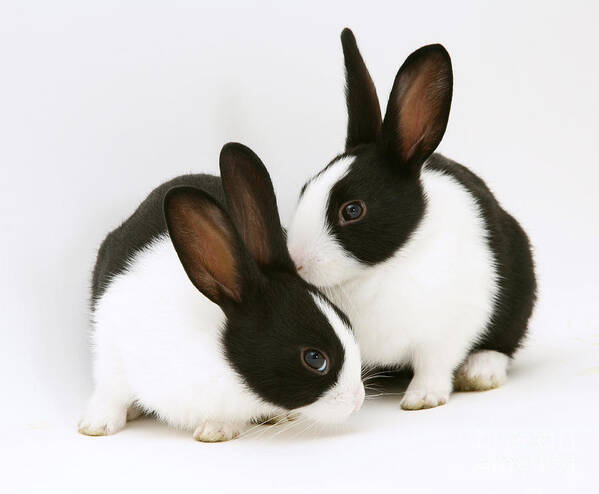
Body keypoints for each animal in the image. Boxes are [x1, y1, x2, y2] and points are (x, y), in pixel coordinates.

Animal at [81, 142, 366, 440]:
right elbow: (110, 393)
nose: (358, 400)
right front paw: (96, 425)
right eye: (314, 358)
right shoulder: (110, 345)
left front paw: (216, 430)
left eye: (346, 320)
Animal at [288, 29, 536, 412]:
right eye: (305, 189)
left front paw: (423, 398)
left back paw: (480, 373)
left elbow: (434, 364)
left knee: (503, 344)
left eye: (352, 210)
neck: (375, 274)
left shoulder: (447, 332)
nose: (296, 261)